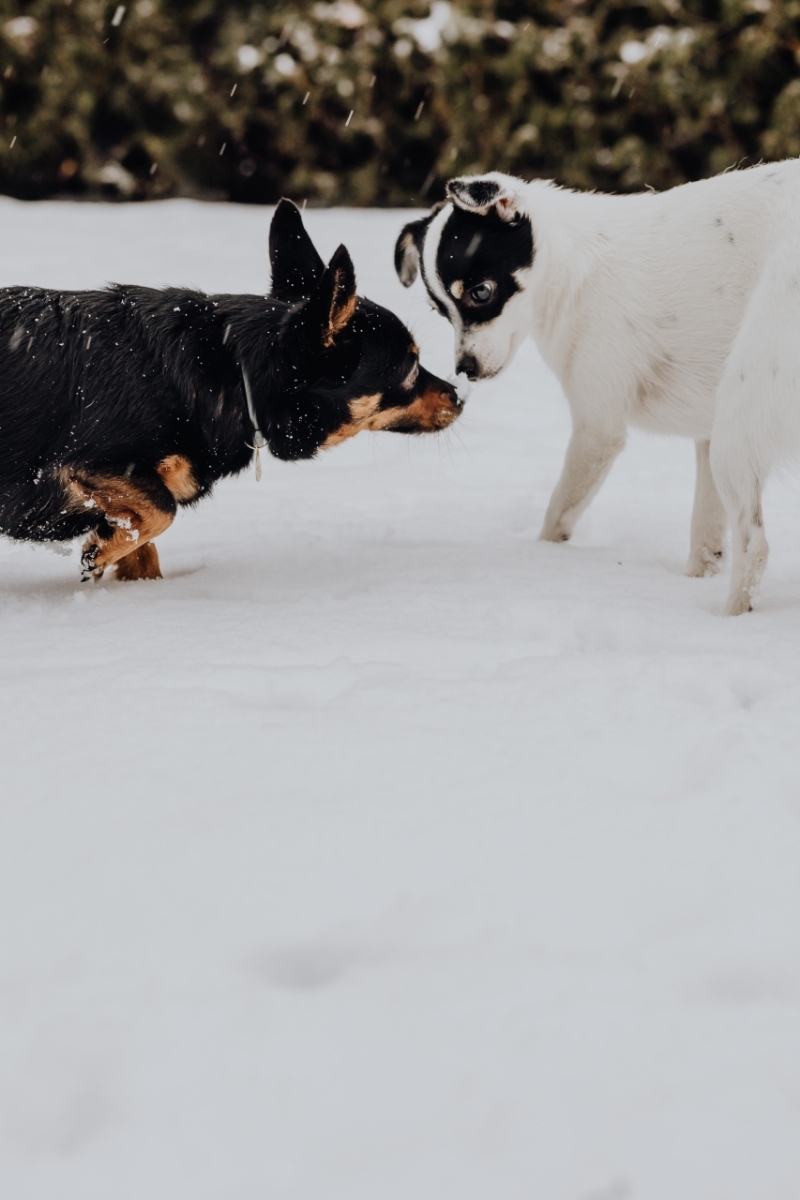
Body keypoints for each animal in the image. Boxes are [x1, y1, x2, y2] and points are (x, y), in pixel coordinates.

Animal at [0, 200, 462, 580]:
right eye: (409, 368)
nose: (459, 396)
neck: (233, 372)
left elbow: (145, 546)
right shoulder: (85, 463)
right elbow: (162, 511)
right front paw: (100, 549)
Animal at [395, 163, 800, 614]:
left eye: (481, 292)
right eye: (439, 310)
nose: (465, 370)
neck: (571, 269)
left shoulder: (598, 429)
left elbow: (558, 512)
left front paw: (541, 555)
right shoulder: (705, 436)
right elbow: (705, 535)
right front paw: (695, 578)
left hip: (741, 415)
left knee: (755, 545)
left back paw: (729, 617)